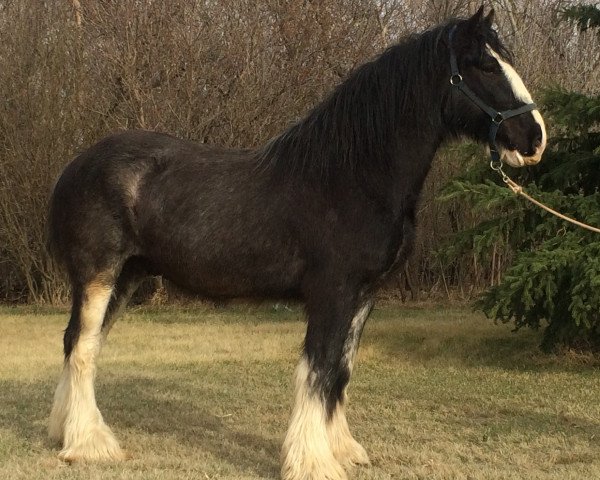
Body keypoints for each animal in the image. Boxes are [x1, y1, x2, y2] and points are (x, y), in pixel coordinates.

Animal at [47, 7, 544, 480]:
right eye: (484, 65)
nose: (535, 138)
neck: (353, 176)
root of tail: (75, 166)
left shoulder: (364, 295)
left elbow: (340, 372)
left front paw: (343, 450)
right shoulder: (332, 292)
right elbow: (317, 370)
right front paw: (312, 462)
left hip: (126, 276)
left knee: (80, 344)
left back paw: (64, 431)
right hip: (98, 274)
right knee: (82, 346)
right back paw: (90, 445)